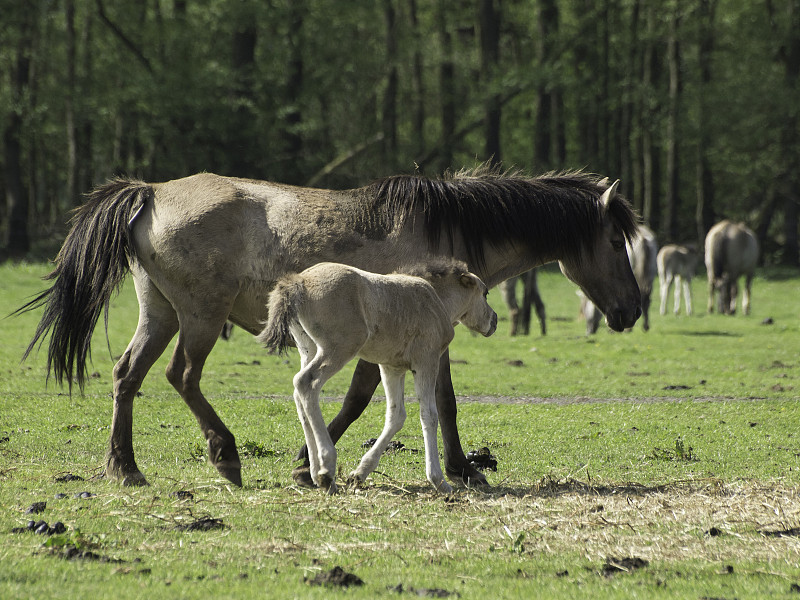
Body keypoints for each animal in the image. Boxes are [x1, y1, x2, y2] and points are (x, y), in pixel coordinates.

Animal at [258, 260, 494, 494]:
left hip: (309, 349)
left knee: (299, 393)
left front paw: (359, 474)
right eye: (485, 293)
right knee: (306, 382)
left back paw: (317, 473)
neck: (434, 298)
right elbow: (429, 415)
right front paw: (438, 480)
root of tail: (300, 280)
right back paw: (326, 469)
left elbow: (396, 416)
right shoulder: (426, 361)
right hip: (339, 348)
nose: (494, 320)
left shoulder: (392, 367)